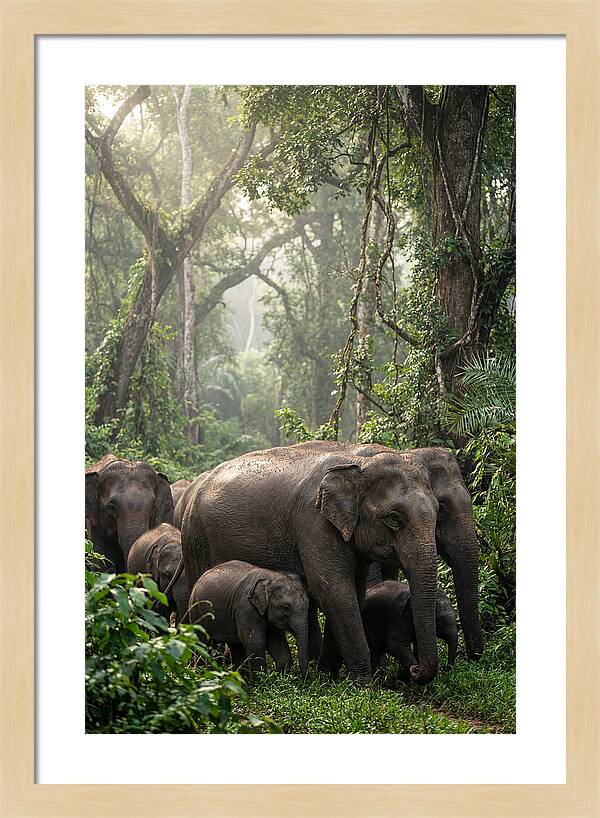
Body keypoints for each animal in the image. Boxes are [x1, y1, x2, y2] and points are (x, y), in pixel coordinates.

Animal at [181, 442, 442, 685]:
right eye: (394, 518)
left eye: (439, 511)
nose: (414, 670)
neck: (359, 465)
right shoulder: (314, 524)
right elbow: (334, 590)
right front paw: (364, 686)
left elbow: (353, 592)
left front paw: (328, 677)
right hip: (195, 540)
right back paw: (207, 668)